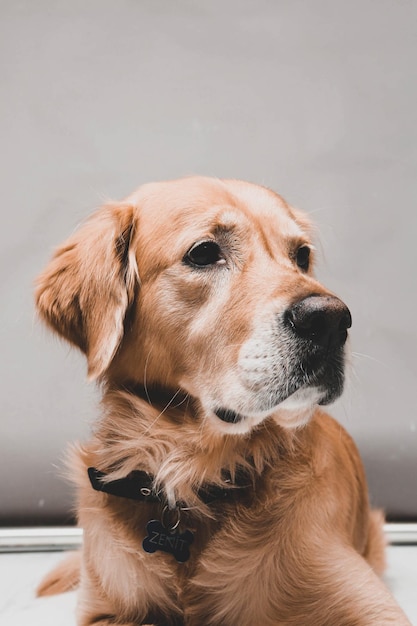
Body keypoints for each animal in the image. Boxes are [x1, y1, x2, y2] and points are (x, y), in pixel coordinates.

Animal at [35, 177, 406, 624]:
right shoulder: (103, 610)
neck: (195, 473)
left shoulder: (372, 606)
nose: (331, 319)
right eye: (204, 253)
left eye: (301, 256)